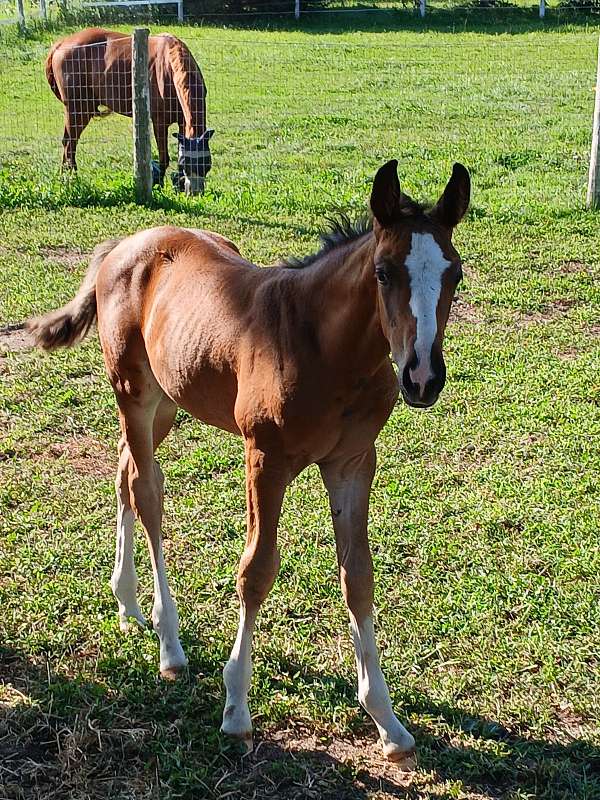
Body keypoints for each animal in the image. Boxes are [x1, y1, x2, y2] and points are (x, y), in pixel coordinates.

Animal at [27, 159, 470, 760]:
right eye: (382, 273)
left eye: (455, 274)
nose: (422, 377)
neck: (323, 348)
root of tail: (126, 243)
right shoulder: (264, 457)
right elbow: (256, 570)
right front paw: (236, 708)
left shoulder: (354, 462)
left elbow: (358, 576)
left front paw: (387, 720)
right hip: (132, 391)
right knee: (146, 491)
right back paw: (169, 643)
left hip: (169, 397)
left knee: (125, 471)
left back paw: (127, 604)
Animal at [45, 27, 214, 194]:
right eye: (186, 164)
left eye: (206, 164)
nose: (195, 192)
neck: (169, 68)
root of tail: (61, 44)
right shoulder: (159, 122)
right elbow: (164, 158)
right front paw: (159, 186)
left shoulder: (182, 121)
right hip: (78, 109)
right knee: (70, 143)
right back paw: (71, 178)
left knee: (68, 141)